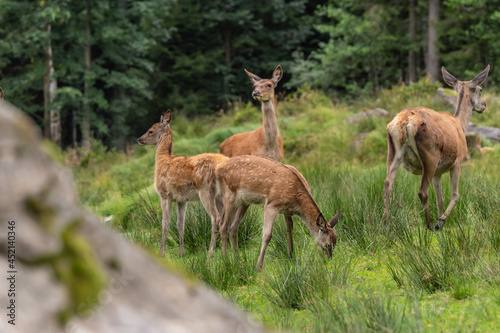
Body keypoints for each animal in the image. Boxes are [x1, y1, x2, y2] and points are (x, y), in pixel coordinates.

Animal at [138, 111, 229, 254]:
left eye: (150, 131)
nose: (139, 139)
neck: (163, 160)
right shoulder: (182, 199)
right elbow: (180, 224)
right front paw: (182, 252)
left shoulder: (165, 194)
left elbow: (165, 223)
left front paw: (162, 252)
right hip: (220, 195)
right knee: (226, 219)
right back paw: (225, 252)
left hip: (206, 190)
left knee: (216, 219)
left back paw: (210, 253)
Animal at [382, 66, 488, 230]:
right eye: (480, 89)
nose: (483, 105)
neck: (461, 125)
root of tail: (406, 122)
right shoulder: (457, 161)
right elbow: (455, 195)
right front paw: (441, 220)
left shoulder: (439, 172)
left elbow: (440, 199)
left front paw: (441, 220)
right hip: (430, 155)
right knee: (422, 192)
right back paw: (430, 224)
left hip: (393, 151)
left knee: (387, 185)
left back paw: (385, 223)